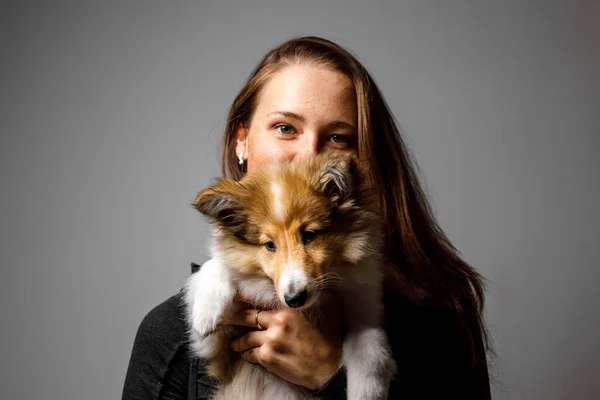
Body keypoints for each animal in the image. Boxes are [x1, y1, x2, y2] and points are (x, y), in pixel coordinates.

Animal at [183, 153, 398, 400]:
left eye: (309, 235)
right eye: (269, 245)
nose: (294, 299)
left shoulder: (366, 308)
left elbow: (371, 345)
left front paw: (366, 392)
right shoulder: (220, 347)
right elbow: (216, 266)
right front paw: (205, 314)